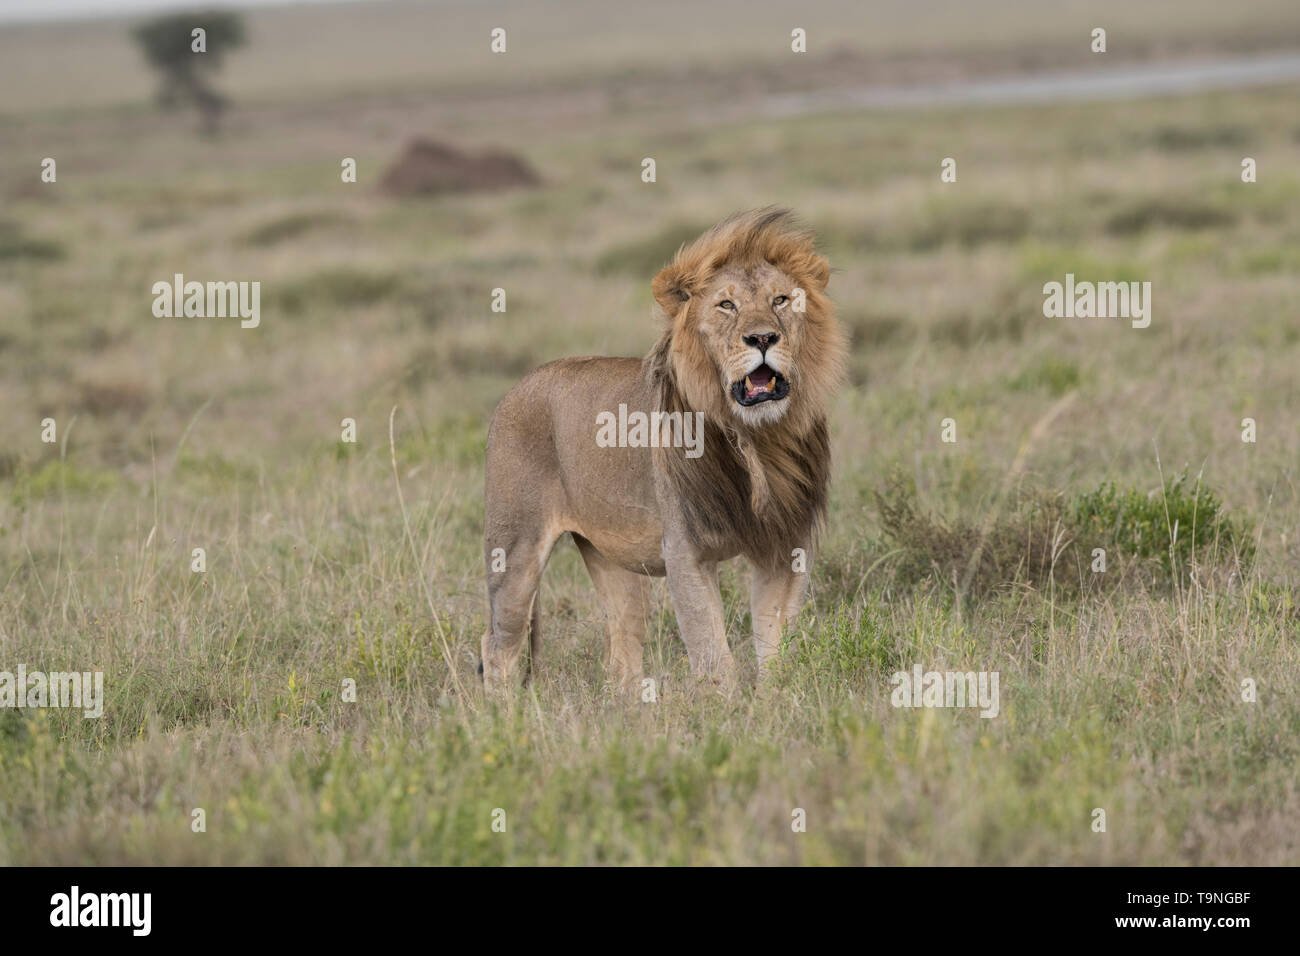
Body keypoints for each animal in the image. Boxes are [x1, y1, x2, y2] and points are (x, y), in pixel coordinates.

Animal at [480, 207, 846, 694]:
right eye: (726, 305)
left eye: (781, 300)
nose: (763, 338)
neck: (758, 441)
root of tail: (516, 388)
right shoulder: (685, 550)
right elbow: (712, 654)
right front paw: (727, 710)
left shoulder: (784, 546)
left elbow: (775, 647)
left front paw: (777, 701)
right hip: (515, 549)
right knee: (498, 645)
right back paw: (501, 711)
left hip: (613, 559)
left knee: (620, 652)